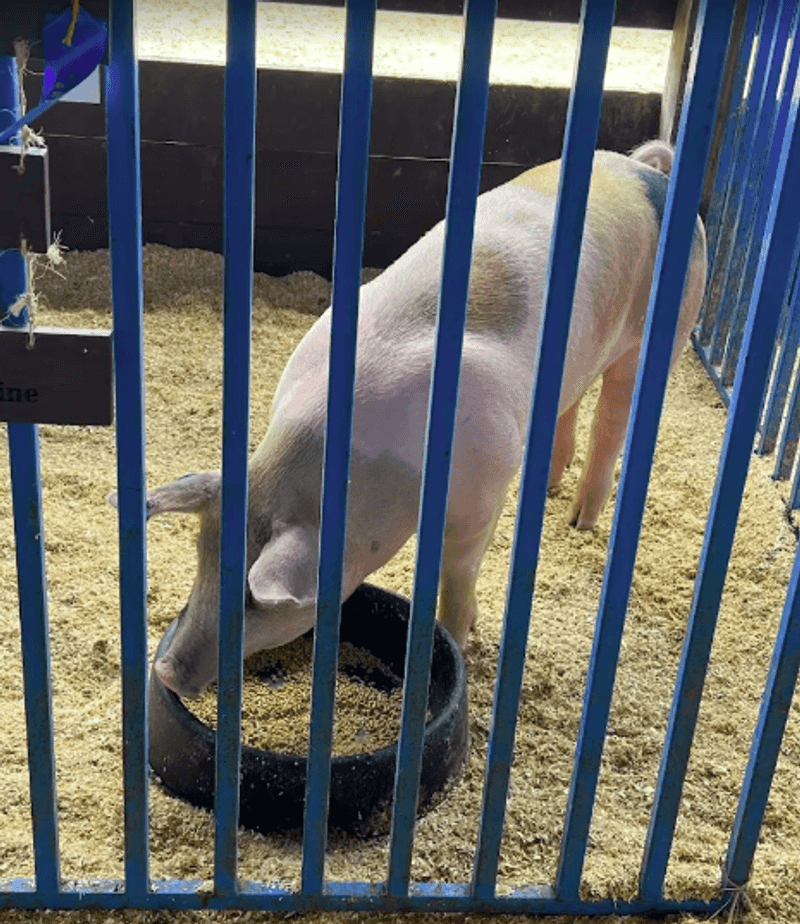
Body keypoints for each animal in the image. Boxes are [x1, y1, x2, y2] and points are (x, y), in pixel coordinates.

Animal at [110, 140, 706, 699]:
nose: (165, 671)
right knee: (572, 404)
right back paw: (555, 486)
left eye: (257, 601)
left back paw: (580, 520)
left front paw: (458, 636)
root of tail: (648, 171)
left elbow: (457, 571)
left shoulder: (484, 485)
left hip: (663, 333)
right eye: (201, 557)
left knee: (614, 420)